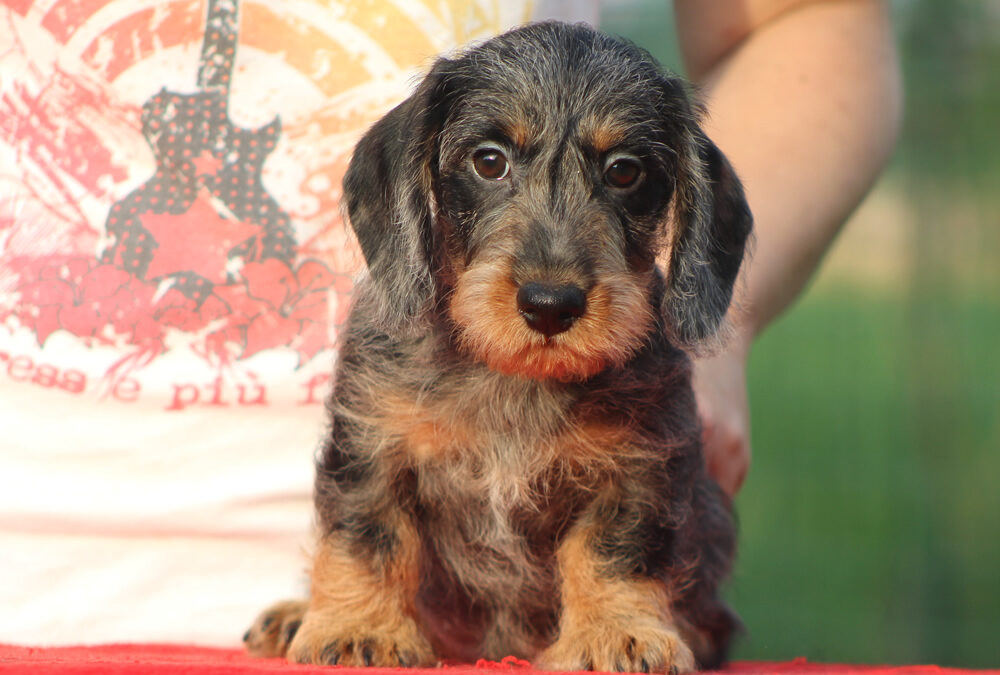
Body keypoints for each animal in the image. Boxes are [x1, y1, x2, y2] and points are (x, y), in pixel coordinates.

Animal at [244, 22, 752, 675]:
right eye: (489, 161)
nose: (550, 304)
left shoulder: (639, 463)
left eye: (625, 171)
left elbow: (612, 551)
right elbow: (370, 535)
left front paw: (617, 633)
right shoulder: (372, 440)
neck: (511, 375)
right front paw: (362, 629)